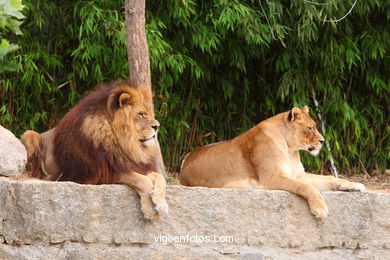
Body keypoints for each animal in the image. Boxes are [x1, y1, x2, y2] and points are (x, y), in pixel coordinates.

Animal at [20, 80, 168, 220]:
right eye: (141, 114)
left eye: (149, 114)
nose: (157, 126)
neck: (124, 143)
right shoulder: (105, 172)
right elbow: (143, 181)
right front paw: (150, 210)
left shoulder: (134, 164)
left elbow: (160, 178)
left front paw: (161, 203)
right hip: (29, 134)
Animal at [181, 106, 364, 218]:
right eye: (310, 128)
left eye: (315, 126)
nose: (322, 141)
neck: (290, 149)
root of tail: (185, 161)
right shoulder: (273, 178)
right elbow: (305, 187)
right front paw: (320, 208)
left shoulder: (299, 175)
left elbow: (330, 178)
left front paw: (354, 185)